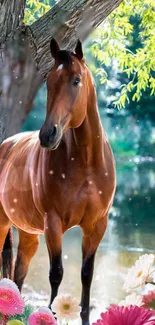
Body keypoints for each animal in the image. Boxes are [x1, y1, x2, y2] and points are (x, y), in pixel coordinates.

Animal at [0, 39, 115, 322]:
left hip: (29, 234)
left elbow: (86, 274)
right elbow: (56, 274)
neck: (86, 164)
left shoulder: (97, 225)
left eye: (76, 81)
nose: (47, 135)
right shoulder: (53, 224)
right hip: (3, 223)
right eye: (50, 81)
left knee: (18, 275)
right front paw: (50, 315)